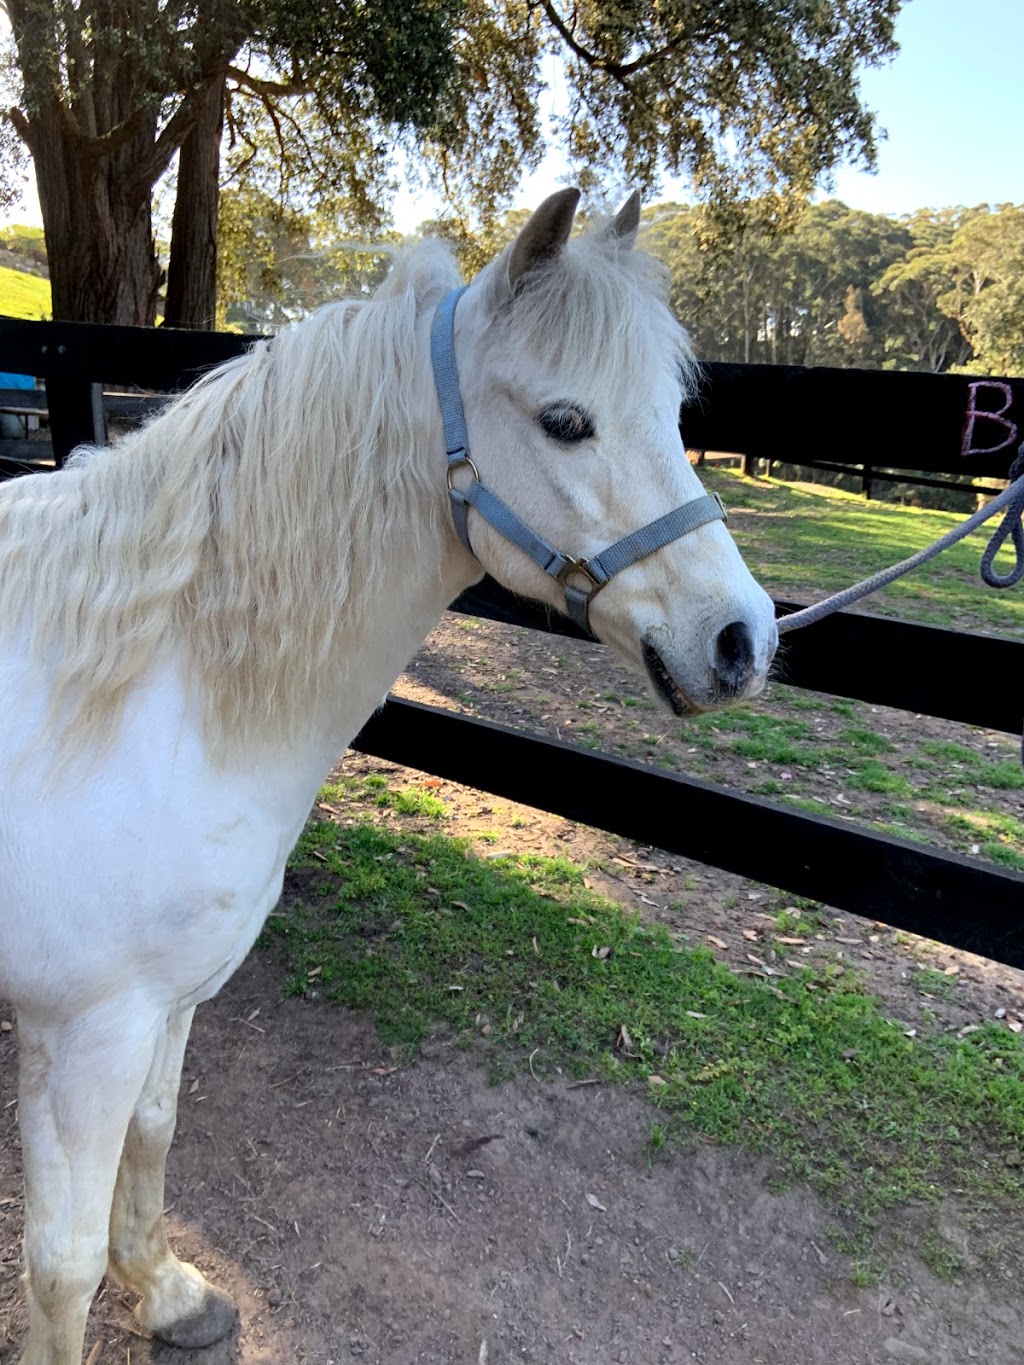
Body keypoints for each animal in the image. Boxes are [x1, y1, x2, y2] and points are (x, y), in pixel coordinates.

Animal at [0, 192, 775, 1365]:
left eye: (674, 413)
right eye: (565, 421)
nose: (741, 640)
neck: (151, 689)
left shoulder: (162, 1005)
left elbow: (157, 1137)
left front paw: (169, 1292)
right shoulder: (83, 1031)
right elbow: (61, 1264)